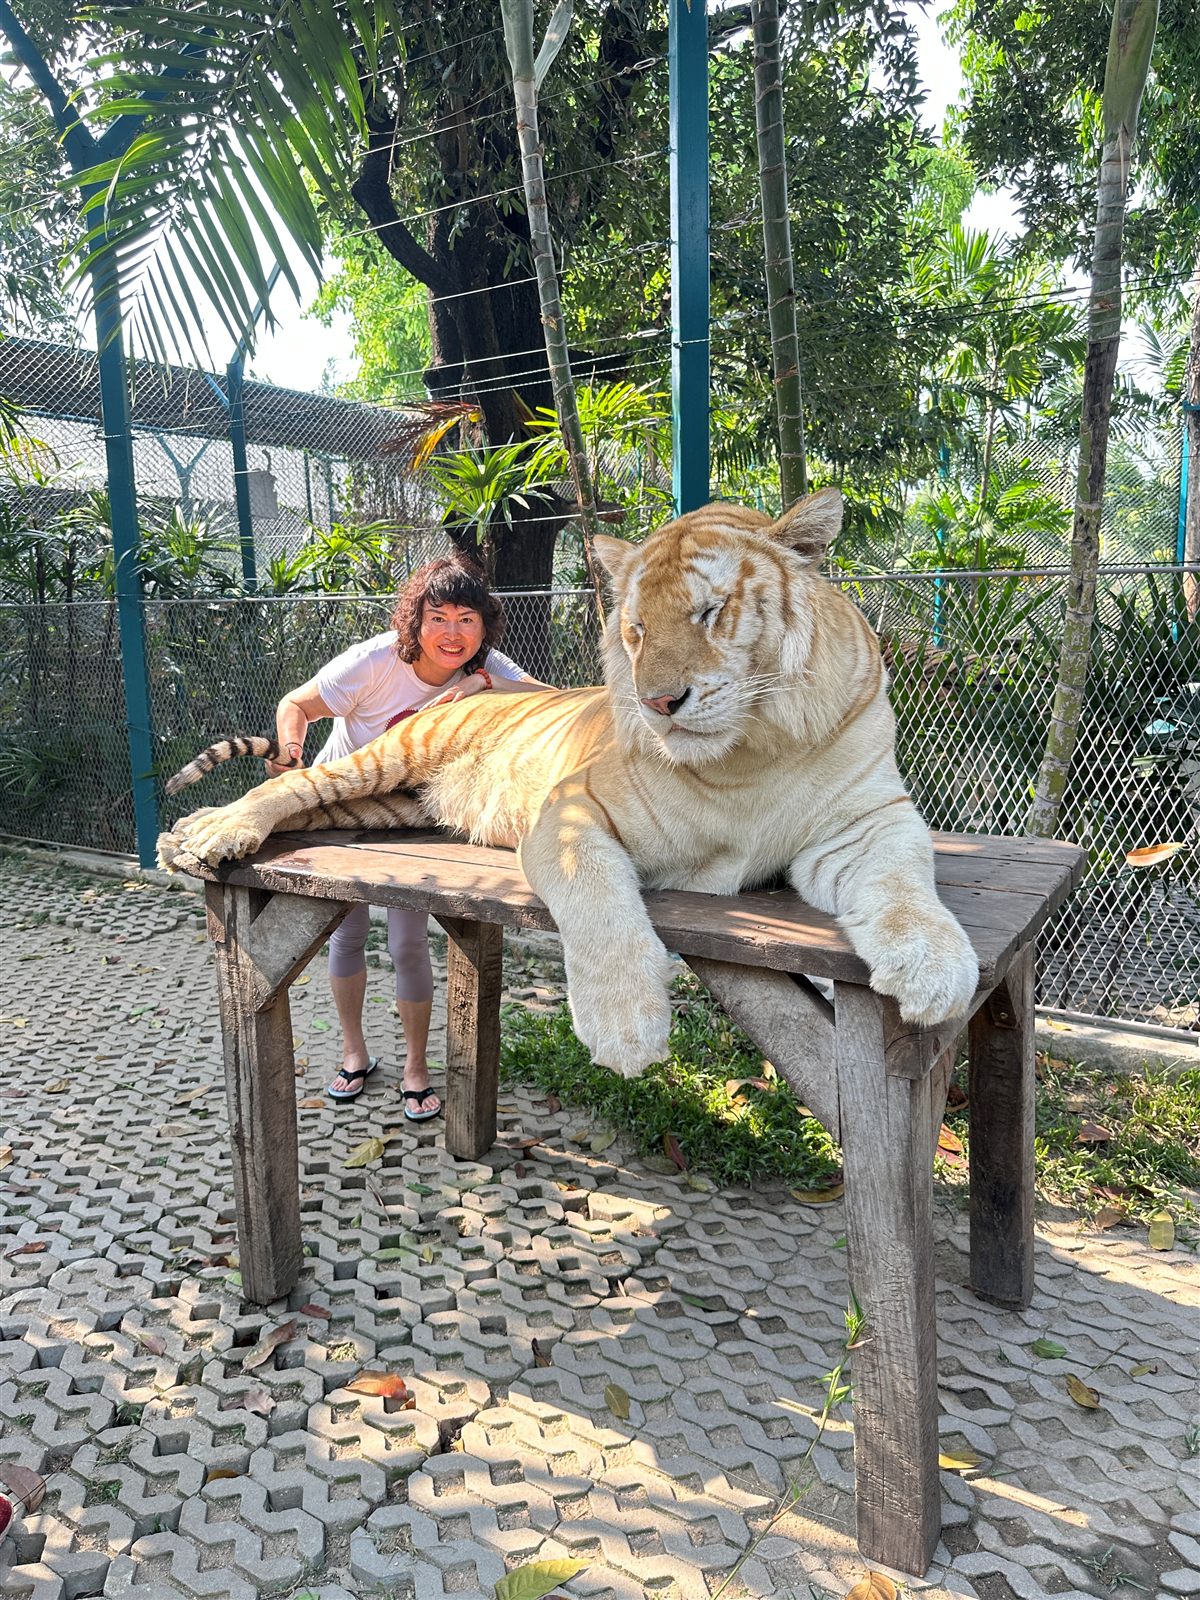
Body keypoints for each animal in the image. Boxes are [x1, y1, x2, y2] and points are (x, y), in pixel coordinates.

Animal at [159, 488, 978, 1077]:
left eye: (710, 612)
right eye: (636, 630)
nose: (657, 702)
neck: (752, 752)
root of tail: (449, 696)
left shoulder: (867, 820)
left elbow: (904, 885)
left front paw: (935, 971)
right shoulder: (575, 809)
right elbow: (597, 896)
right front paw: (624, 1026)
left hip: (381, 808)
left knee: (314, 809)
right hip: (386, 758)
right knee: (285, 789)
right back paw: (205, 832)